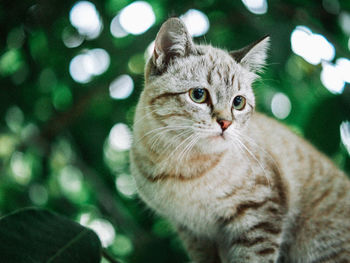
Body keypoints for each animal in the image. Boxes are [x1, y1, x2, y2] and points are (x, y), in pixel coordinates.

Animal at [129, 17, 350, 262]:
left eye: (238, 102)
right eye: (198, 95)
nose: (225, 123)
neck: (178, 164)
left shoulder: (258, 215)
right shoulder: (193, 234)